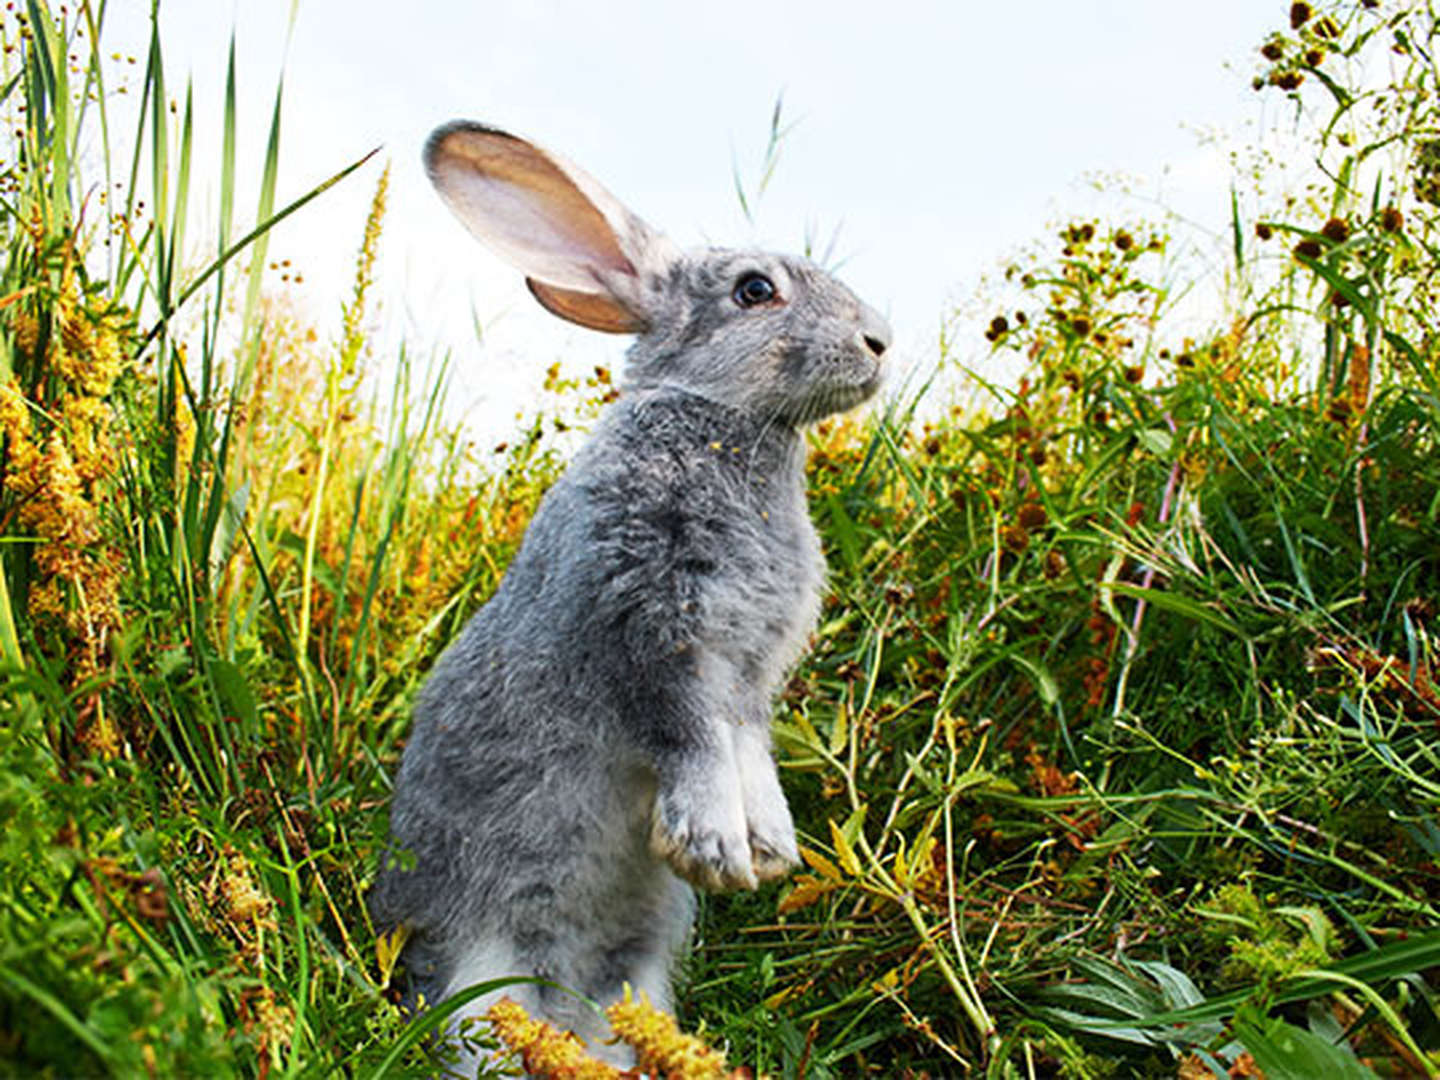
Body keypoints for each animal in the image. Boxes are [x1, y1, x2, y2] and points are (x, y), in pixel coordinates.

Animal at [371, 122, 887, 1071]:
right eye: (754, 290)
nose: (879, 341)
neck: (725, 425)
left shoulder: (748, 679)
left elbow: (747, 751)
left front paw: (768, 849)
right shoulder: (649, 628)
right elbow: (690, 739)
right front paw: (713, 847)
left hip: (638, 977)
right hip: (479, 982)